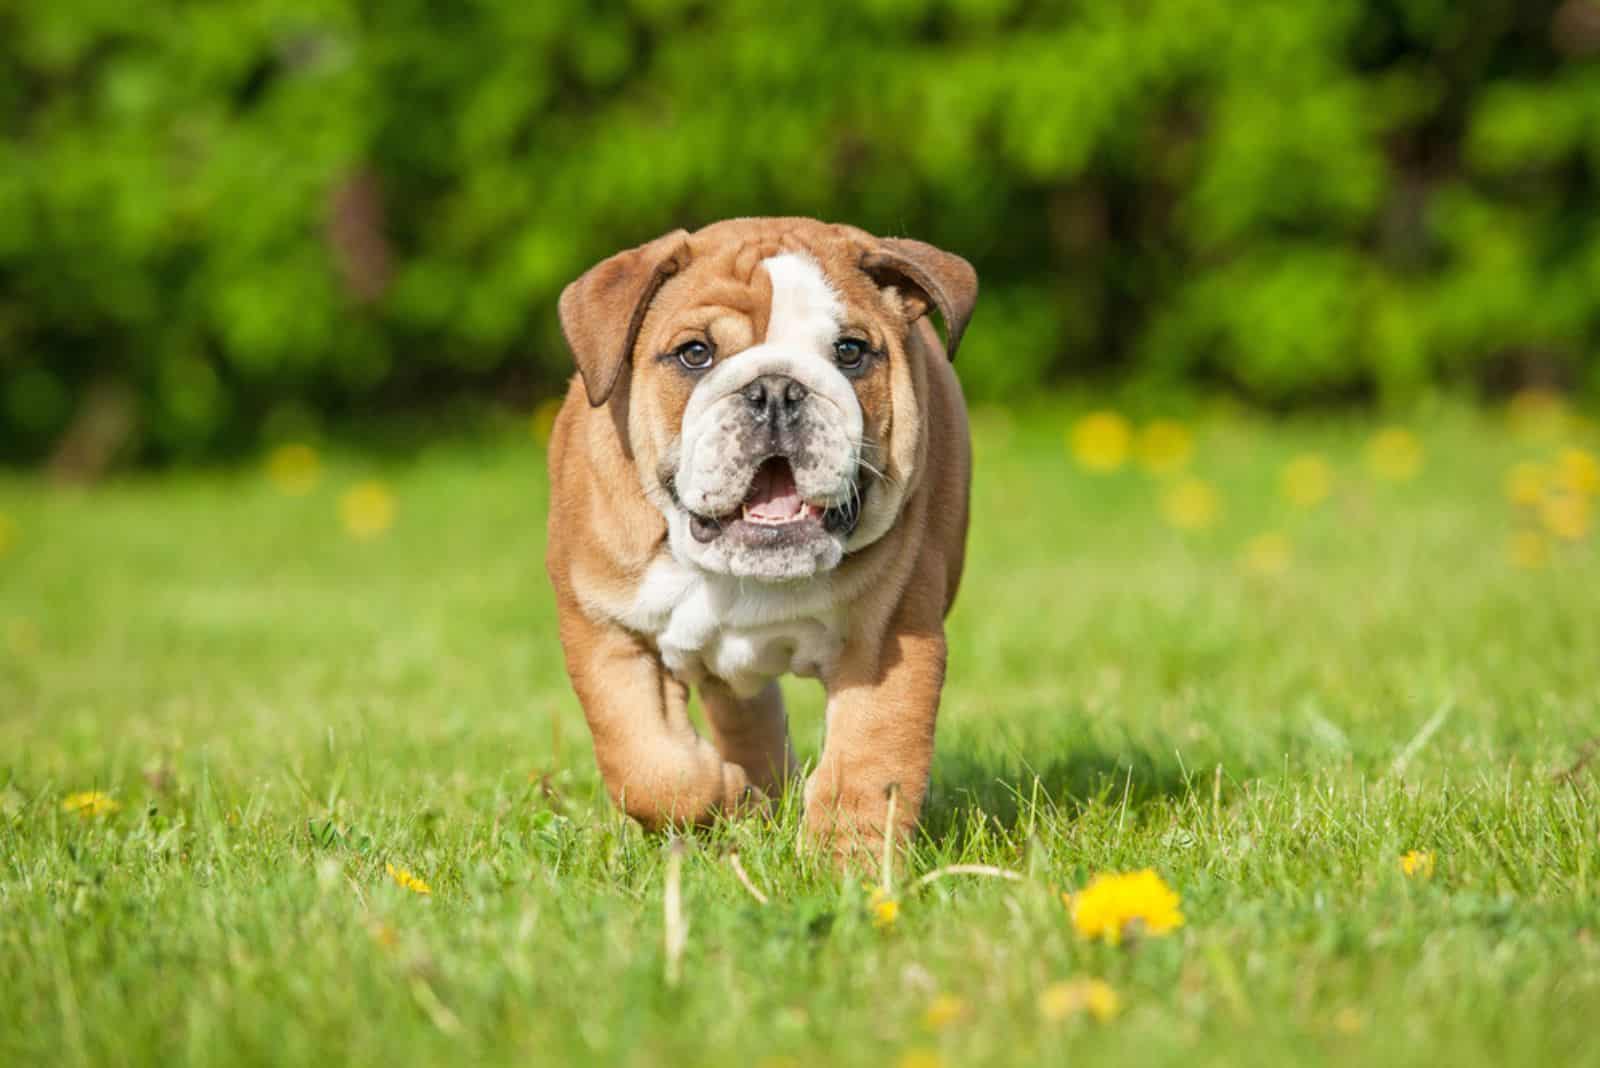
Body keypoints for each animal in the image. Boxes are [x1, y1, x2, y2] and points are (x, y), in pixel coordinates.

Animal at [547, 217, 972, 856]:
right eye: (695, 353)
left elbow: (872, 761)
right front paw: (727, 797)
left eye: (850, 352)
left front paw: (845, 862)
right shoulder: (606, 631)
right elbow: (647, 766)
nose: (776, 390)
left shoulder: (889, 638)